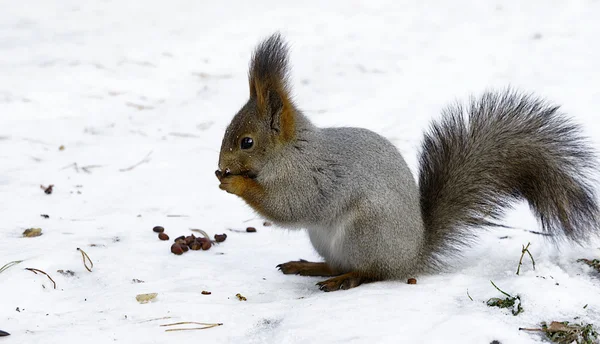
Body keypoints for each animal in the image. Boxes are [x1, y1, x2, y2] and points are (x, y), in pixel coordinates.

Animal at [216, 32, 600, 292]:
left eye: (247, 142)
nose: (220, 165)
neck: (292, 151)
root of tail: (411, 257)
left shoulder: (316, 178)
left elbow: (290, 207)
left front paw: (234, 182)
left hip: (365, 233)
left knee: (372, 272)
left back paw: (345, 278)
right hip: (330, 240)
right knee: (337, 264)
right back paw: (311, 266)